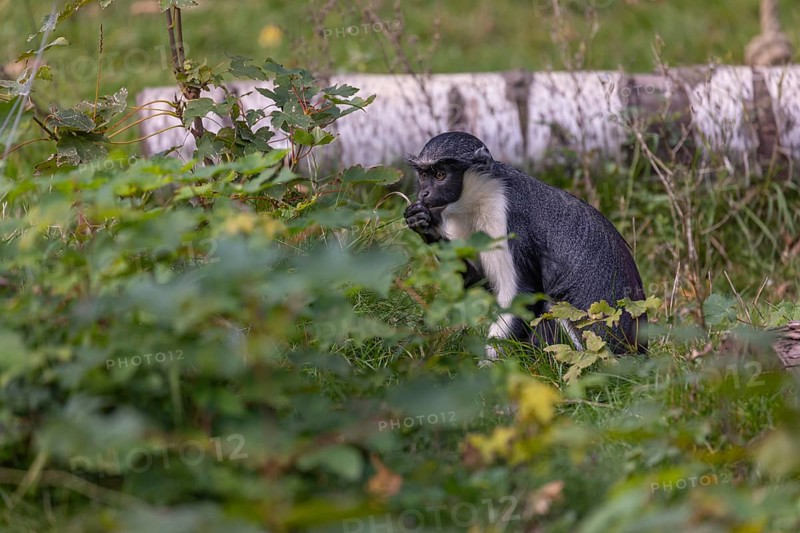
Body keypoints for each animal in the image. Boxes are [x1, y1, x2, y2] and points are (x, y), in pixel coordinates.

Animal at [403, 131, 646, 359]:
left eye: (440, 174)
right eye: (423, 175)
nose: (424, 193)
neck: (481, 195)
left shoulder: (506, 220)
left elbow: (521, 297)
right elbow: (475, 281)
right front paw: (423, 223)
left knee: (549, 308)